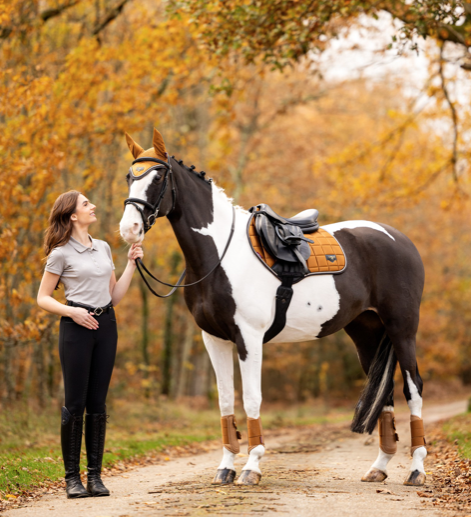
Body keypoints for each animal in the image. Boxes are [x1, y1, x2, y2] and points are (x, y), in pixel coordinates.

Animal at [120, 130, 430, 488]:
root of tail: (400, 240)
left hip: (402, 329)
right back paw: (379, 467)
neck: (221, 255)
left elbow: (252, 398)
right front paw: (225, 468)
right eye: (129, 177)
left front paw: (251, 468)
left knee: (413, 387)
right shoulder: (214, 339)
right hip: (366, 333)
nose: (129, 229)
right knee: (386, 392)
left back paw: (416, 470)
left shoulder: (249, 338)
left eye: (158, 177)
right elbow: (225, 400)